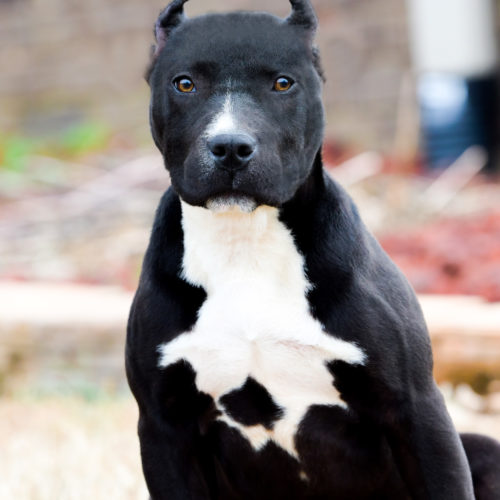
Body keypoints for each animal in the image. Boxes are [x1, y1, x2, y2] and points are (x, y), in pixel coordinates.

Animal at [126, 1, 500, 498]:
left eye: (283, 83)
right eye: (184, 84)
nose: (230, 146)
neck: (245, 241)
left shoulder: (415, 407)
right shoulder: (164, 427)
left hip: (483, 448)